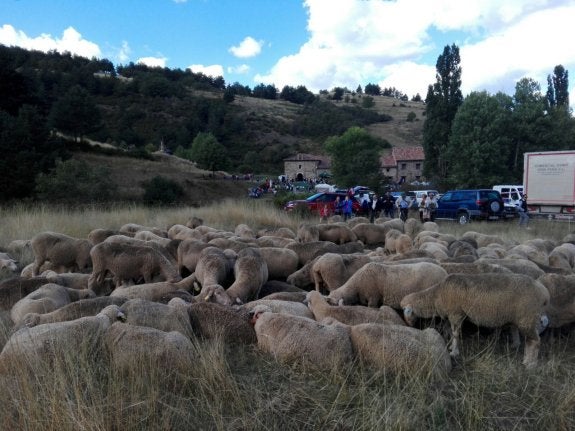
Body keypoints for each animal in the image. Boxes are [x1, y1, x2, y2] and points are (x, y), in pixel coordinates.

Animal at [400, 273, 550, 368]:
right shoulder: (452, 315)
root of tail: (544, 293)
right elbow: (451, 332)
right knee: (522, 335)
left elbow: (455, 334)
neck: (437, 295)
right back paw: (518, 349)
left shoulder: (456, 313)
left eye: (405, 312)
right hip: (521, 317)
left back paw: (530, 364)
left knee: (535, 341)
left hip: (528, 317)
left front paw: (454, 352)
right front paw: (451, 347)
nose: (409, 325)